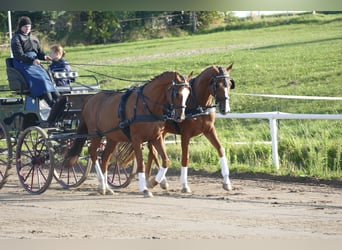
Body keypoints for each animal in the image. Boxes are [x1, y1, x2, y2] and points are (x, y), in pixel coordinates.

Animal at [63, 70, 192, 197]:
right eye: (177, 94)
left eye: (188, 94)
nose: (181, 117)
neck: (146, 105)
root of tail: (90, 100)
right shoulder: (136, 139)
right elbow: (141, 164)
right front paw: (145, 189)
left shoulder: (156, 137)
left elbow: (166, 161)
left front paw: (155, 182)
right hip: (96, 135)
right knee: (93, 154)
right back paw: (102, 185)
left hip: (112, 138)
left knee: (104, 158)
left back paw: (106, 187)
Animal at [144, 64, 235, 193]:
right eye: (217, 85)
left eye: (230, 84)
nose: (225, 109)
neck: (197, 104)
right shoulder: (185, 134)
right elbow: (185, 158)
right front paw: (184, 185)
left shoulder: (209, 130)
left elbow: (221, 149)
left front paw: (227, 182)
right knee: (153, 151)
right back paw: (159, 181)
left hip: (161, 132)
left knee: (153, 152)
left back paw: (153, 180)